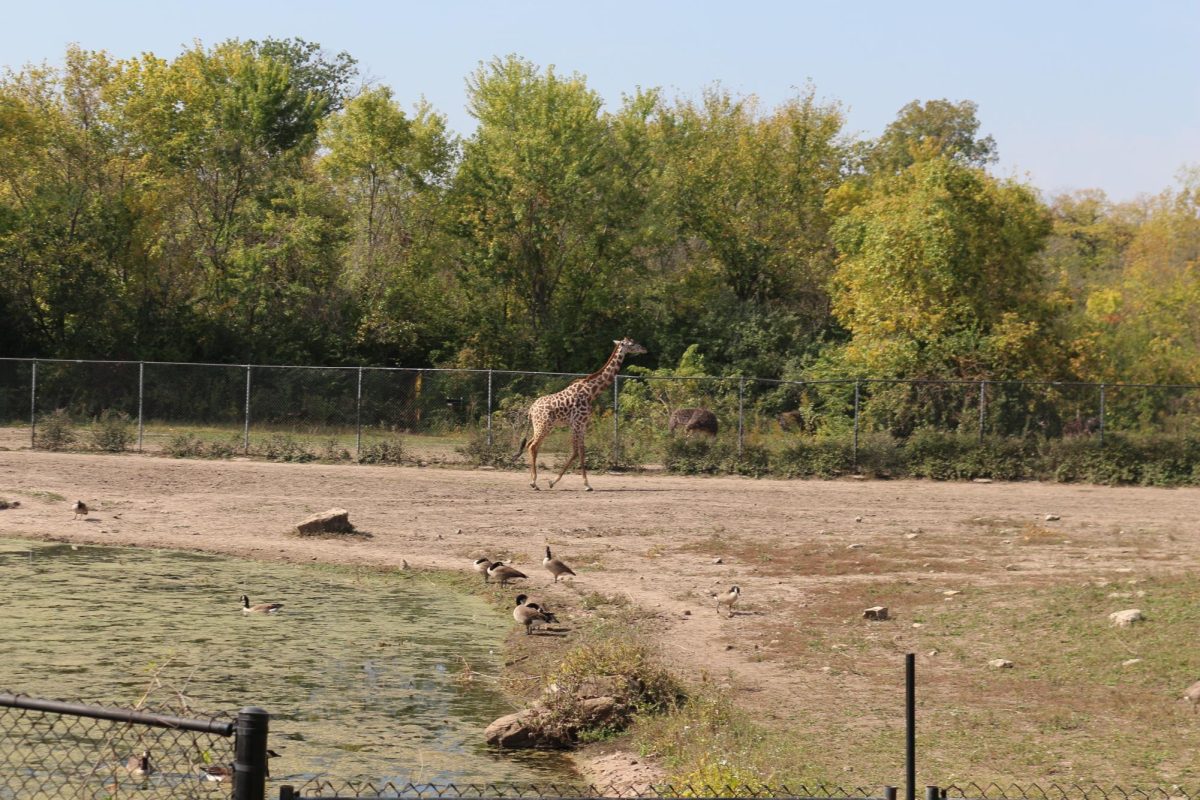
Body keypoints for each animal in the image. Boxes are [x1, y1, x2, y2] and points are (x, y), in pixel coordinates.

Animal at [516, 335, 648, 491]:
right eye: (632, 343)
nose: (645, 349)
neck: (591, 392)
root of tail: (531, 409)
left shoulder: (582, 424)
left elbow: (582, 451)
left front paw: (587, 484)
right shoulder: (577, 423)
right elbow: (575, 451)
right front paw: (554, 482)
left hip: (540, 426)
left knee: (530, 444)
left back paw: (533, 481)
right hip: (544, 425)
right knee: (533, 446)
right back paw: (534, 482)